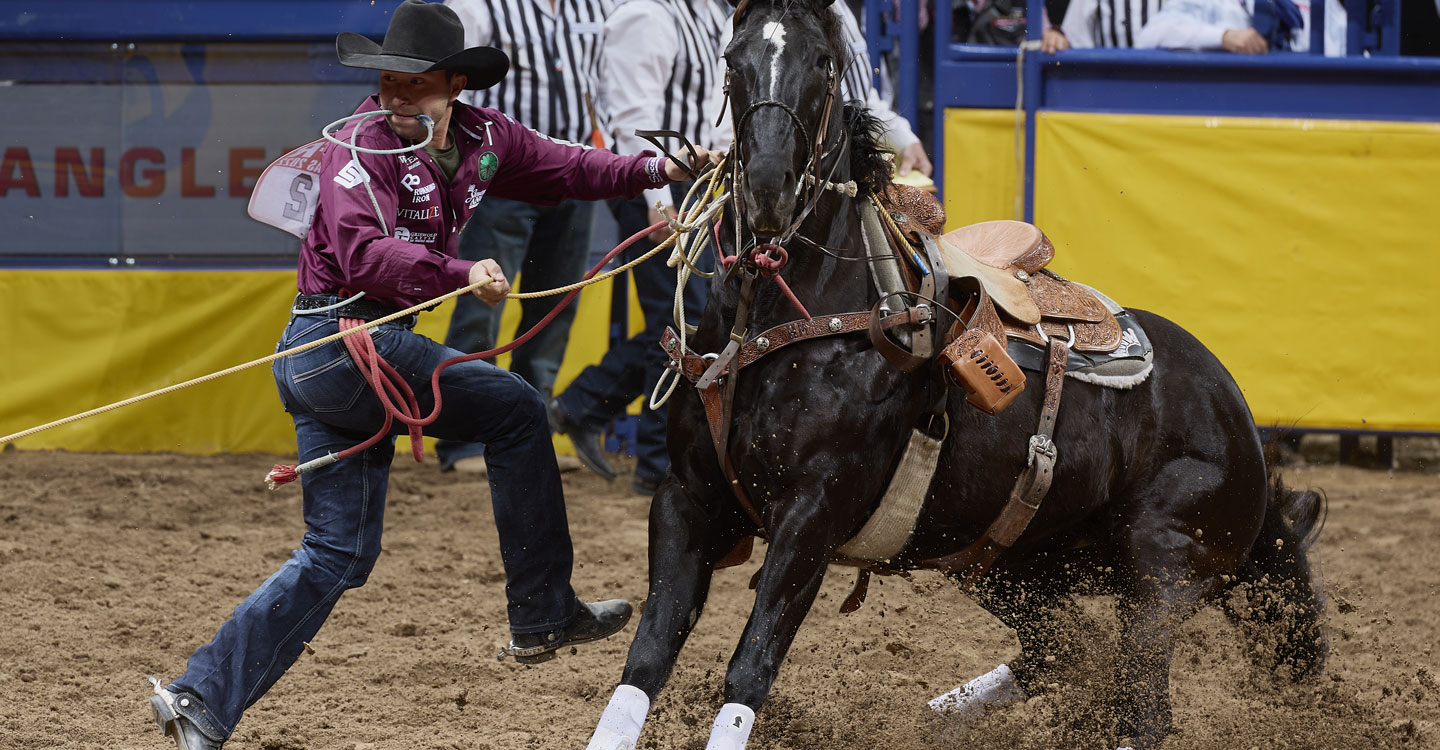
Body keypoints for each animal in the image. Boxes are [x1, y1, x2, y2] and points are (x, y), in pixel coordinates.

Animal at [578, 1, 1319, 748]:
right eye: (733, 60)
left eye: (822, 62)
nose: (765, 188)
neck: (784, 324)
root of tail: (1236, 412)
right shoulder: (686, 498)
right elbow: (647, 655)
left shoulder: (812, 516)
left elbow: (750, 666)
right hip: (1009, 566)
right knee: (1059, 653)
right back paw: (939, 714)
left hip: (1160, 566)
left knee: (1143, 705)